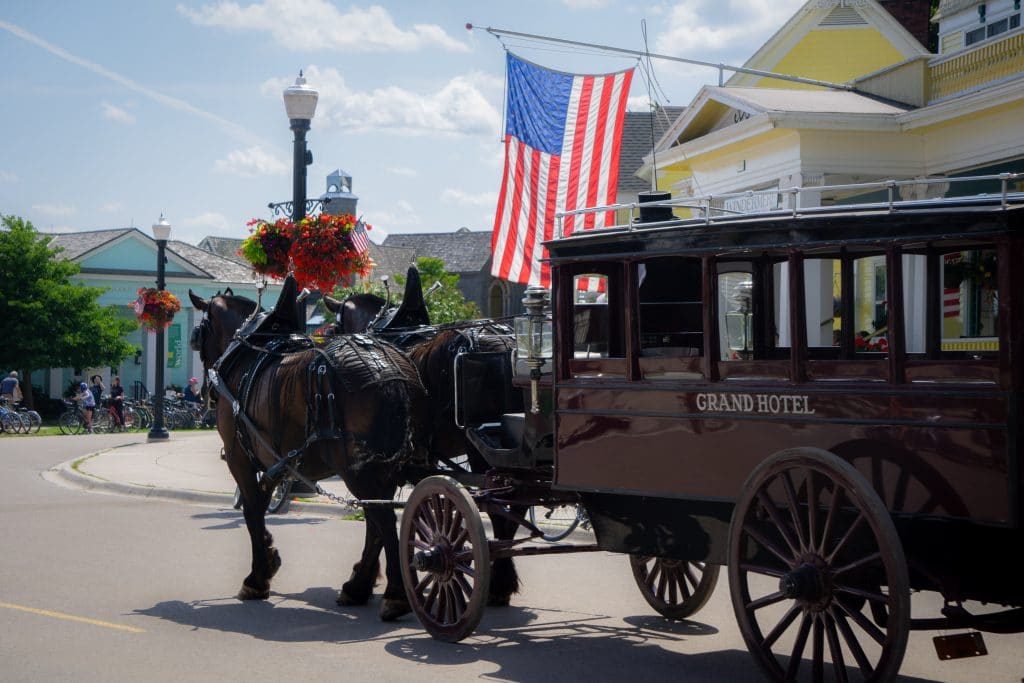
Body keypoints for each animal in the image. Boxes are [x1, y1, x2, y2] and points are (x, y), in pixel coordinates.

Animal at [191, 278, 428, 618]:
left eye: (199, 334)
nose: (204, 393)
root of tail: (389, 372)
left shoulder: (239, 457)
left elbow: (251, 509)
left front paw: (256, 578)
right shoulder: (275, 458)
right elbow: (261, 504)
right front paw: (270, 558)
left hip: (359, 470)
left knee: (382, 520)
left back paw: (395, 594)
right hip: (381, 468)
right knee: (377, 520)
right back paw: (362, 586)